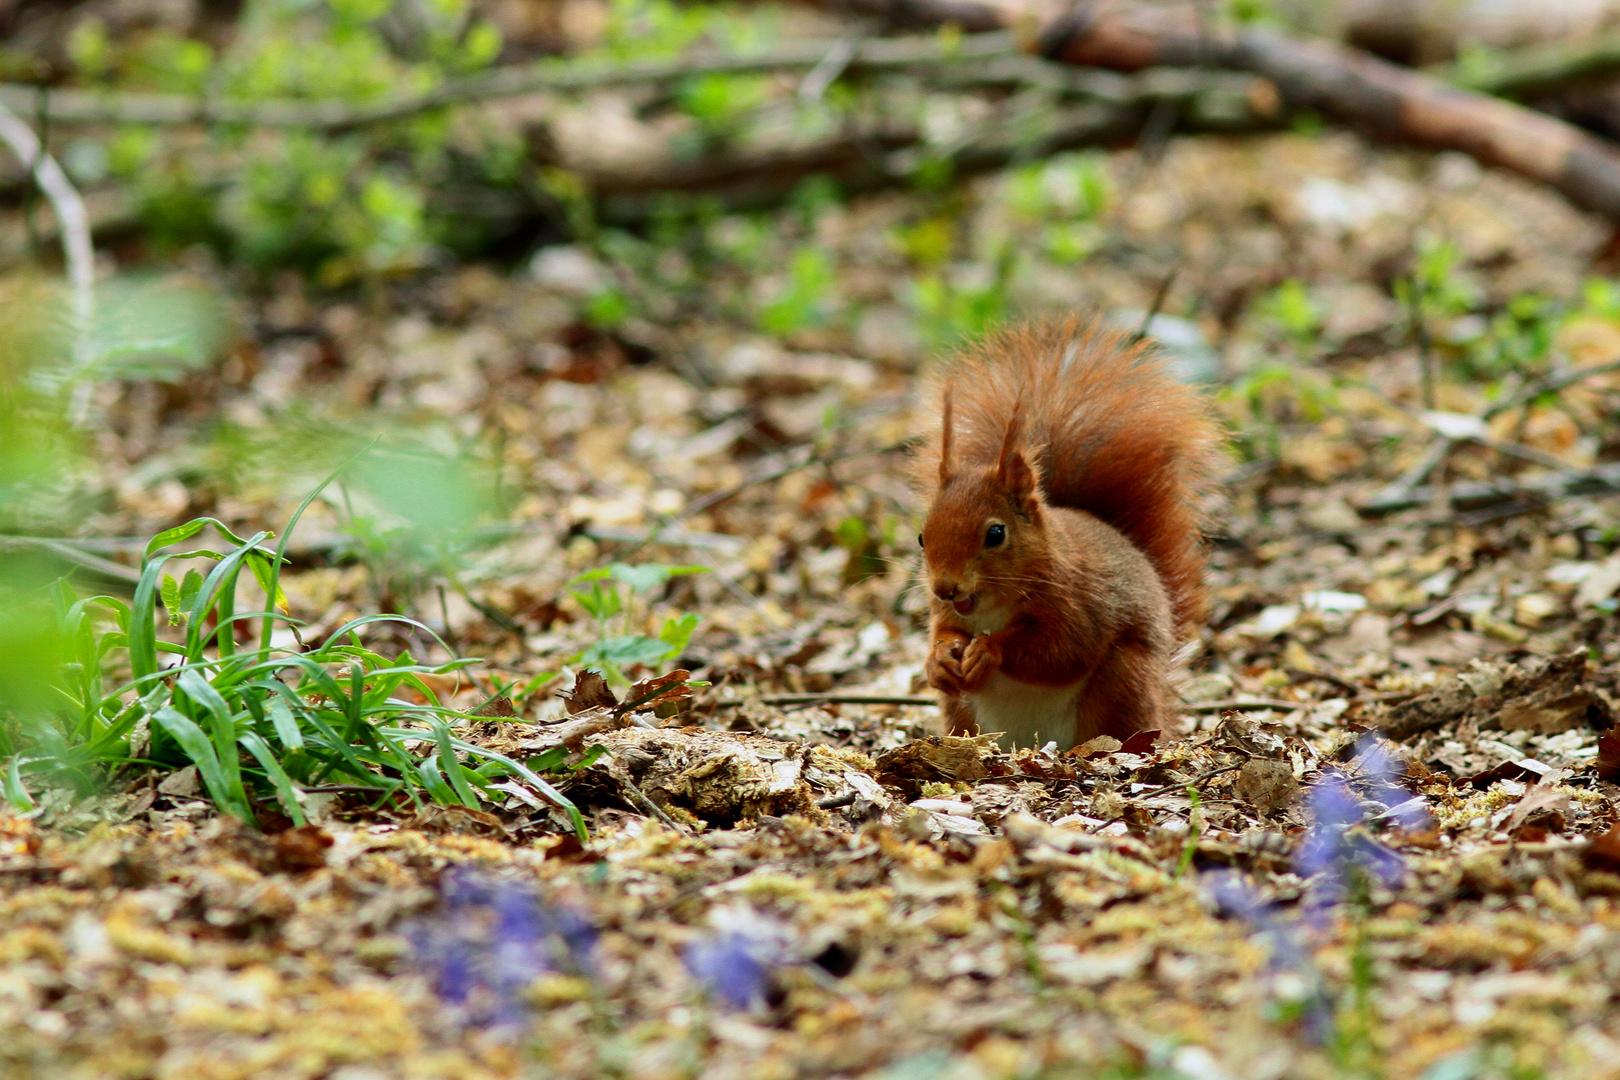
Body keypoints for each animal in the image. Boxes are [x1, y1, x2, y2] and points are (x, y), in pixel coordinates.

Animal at [920, 317, 1218, 748]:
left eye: (995, 534)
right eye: (921, 537)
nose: (945, 588)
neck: (993, 606)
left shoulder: (1078, 604)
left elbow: (1060, 652)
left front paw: (989, 649)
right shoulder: (945, 614)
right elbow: (942, 632)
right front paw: (940, 658)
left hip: (1121, 679)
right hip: (962, 711)